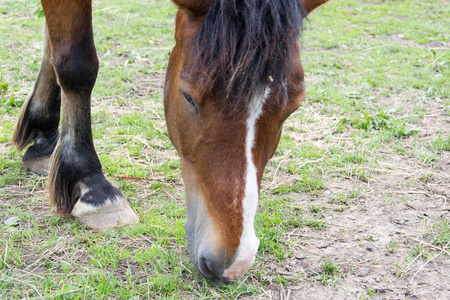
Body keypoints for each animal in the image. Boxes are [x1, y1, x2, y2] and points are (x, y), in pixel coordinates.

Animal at [13, 0, 330, 282]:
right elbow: (76, 63)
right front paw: (91, 184)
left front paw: (43, 131)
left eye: (295, 106)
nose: (233, 263)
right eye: (188, 97)